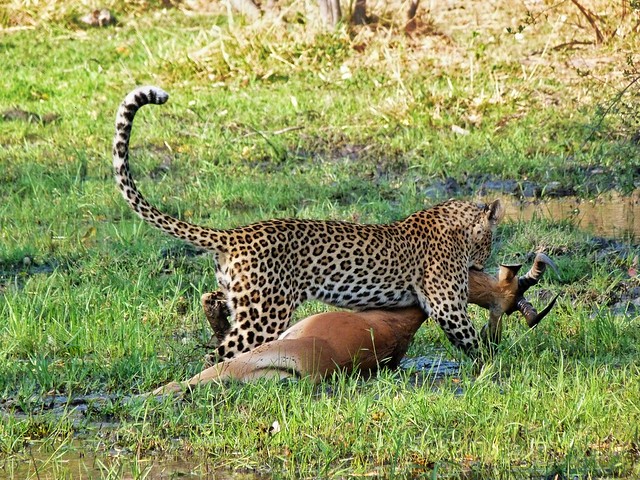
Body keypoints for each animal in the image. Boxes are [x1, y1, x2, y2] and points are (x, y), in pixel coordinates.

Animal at [114, 87, 504, 364]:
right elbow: (472, 340)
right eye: (490, 242)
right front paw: (499, 365)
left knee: (215, 316)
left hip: (242, 299)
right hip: (264, 315)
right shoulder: (447, 304)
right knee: (220, 355)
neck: (454, 221)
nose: (484, 264)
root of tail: (235, 234)